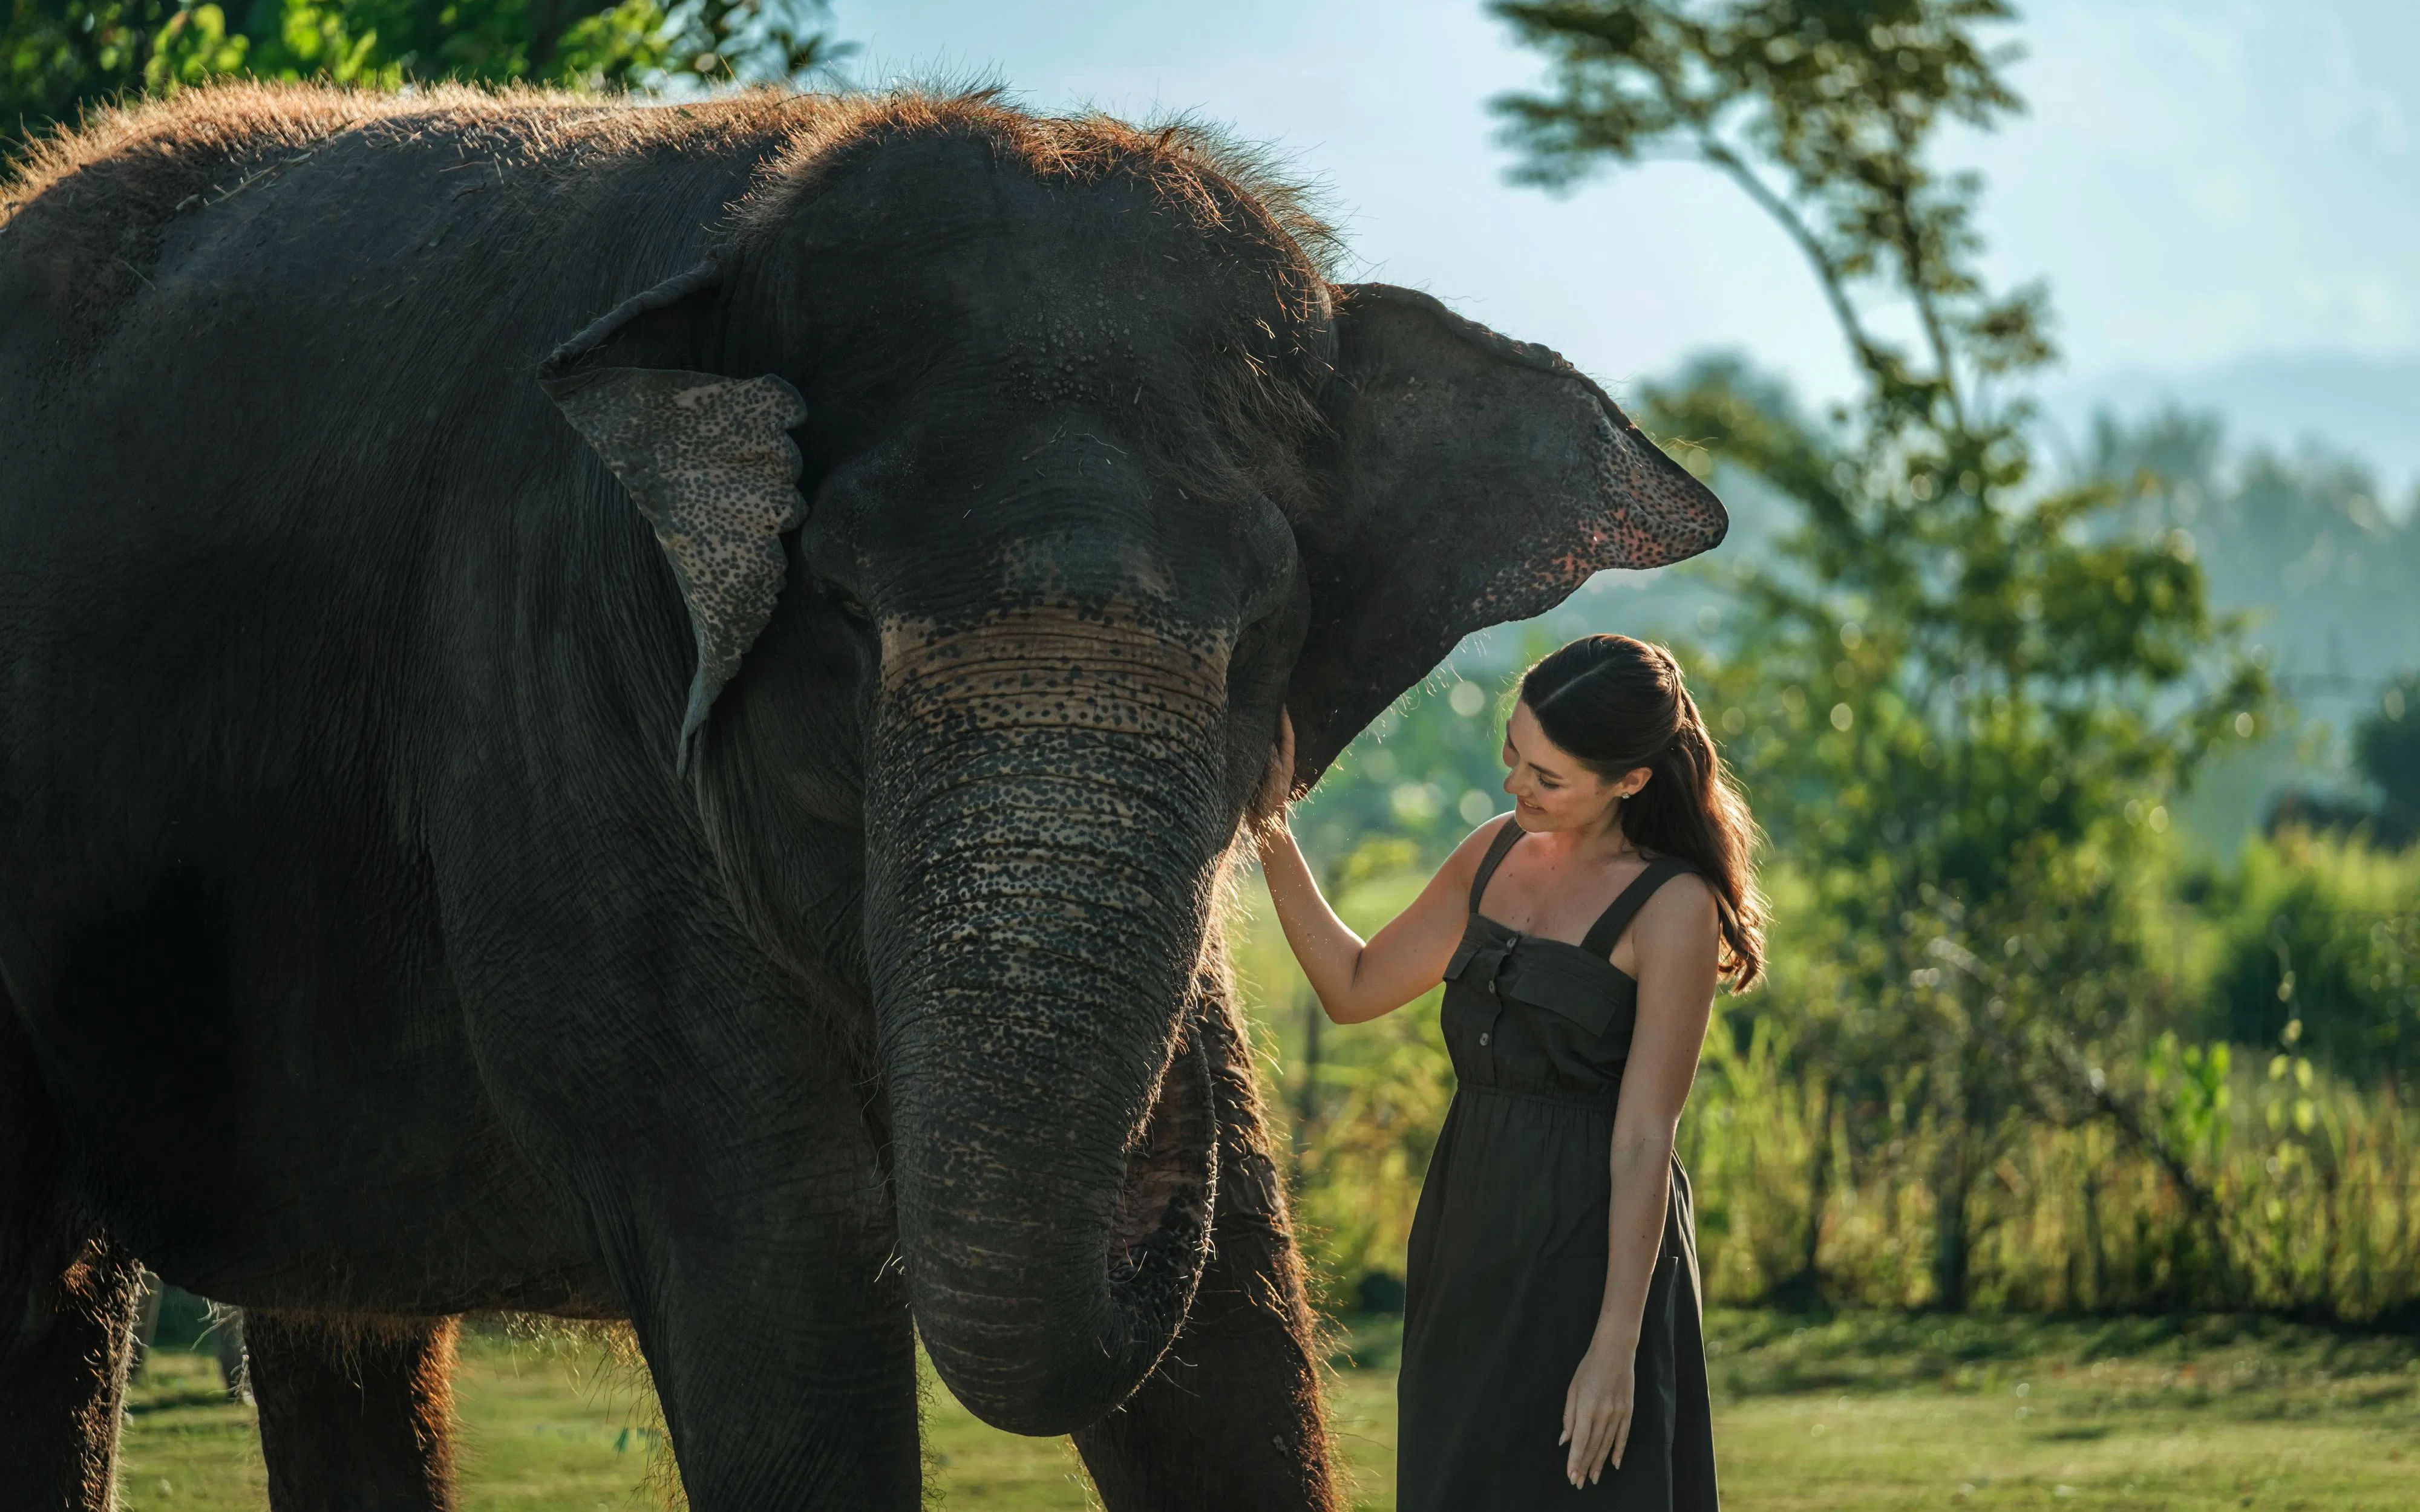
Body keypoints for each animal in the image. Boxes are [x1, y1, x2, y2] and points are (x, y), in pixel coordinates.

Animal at [0, 81, 1727, 1509]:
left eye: (1260, 638)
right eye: (840, 610)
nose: (1168, 1138)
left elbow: (1232, 1349)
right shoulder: (551, 711)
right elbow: (785, 1300)